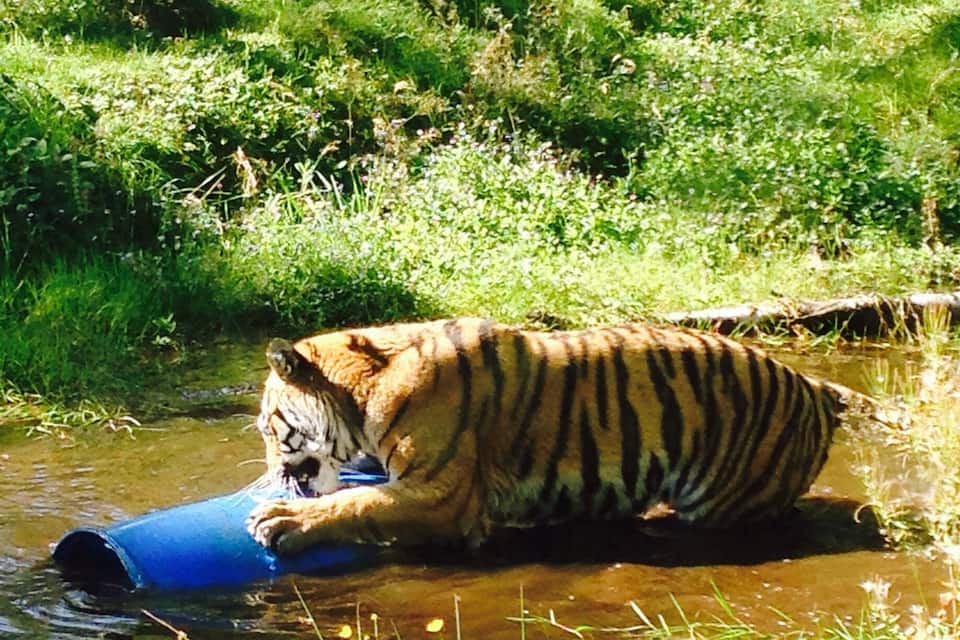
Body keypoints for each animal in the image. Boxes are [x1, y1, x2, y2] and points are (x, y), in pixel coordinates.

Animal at [246, 317, 878, 554]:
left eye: (270, 427)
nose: (272, 474)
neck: (363, 386)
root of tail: (813, 385)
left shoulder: (442, 498)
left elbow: (359, 504)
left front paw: (282, 519)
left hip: (724, 502)